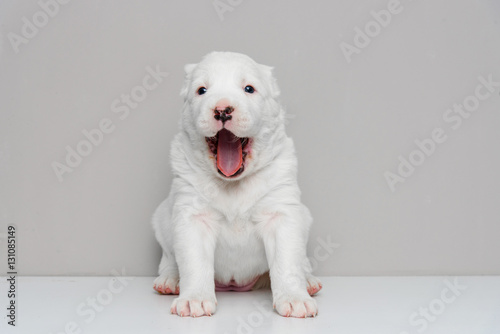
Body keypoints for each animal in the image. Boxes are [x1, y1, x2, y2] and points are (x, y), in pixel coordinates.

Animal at [152, 51, 322, 318]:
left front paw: (295, 299)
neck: (233, 184)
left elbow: (287, 262)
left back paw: (309, 282)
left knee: (301, 261)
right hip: (161, 219)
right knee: (169, 257)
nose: (222, 110)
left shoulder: (282, 215)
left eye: (249, 88)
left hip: (304, 217)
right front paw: (194, 299)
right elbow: (194, 261)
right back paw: (170, 281)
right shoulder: (193, 217)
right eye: (201, 90)